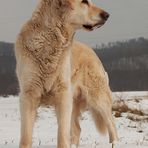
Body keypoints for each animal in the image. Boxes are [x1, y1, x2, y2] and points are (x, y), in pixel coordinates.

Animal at [15, 0, 117, 147]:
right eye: (84, 2)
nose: (107, 15)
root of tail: (92, 51)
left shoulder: (62, 96)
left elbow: (62, 134)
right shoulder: (29, 95)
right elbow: (26, 137)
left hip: (98, 99)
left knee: (111, 124)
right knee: (77, 129)